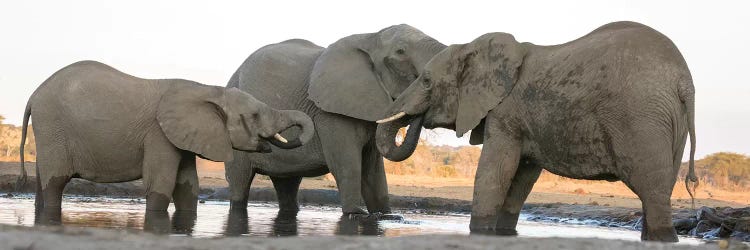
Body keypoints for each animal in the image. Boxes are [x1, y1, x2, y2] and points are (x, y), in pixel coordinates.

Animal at [223, 23, 446, 215]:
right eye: (400, 52)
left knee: (287, 185)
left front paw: (386, 215)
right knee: (239, 184)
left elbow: (373, 171)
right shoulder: (330, 114)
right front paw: (356, 214)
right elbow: (348, 164)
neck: (370, 37)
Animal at [378, 22, 704, 242]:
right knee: (658, 189)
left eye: (426, 81)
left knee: (652, 191)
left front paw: (480, 232)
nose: (418, 117)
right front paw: (501, 233)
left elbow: (494, 172)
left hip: (640, 118)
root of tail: (684, 81)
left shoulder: (505, 112)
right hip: (668, 122)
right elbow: (521, 177)